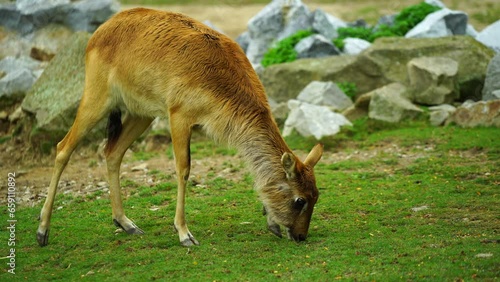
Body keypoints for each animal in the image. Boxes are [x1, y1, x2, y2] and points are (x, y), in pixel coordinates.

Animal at [36, 7, 324, 247]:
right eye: (300, 200)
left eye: (316, 195)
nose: (301, 236)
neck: (220, 80)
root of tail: (99, 31)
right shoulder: (179, 115)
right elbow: (184, 169)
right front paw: (185, 234)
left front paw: (271, 222)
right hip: (97, 99)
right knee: (63, 147)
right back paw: (42, 231)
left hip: (142, 113)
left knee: (112, 152)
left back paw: (126, 223)